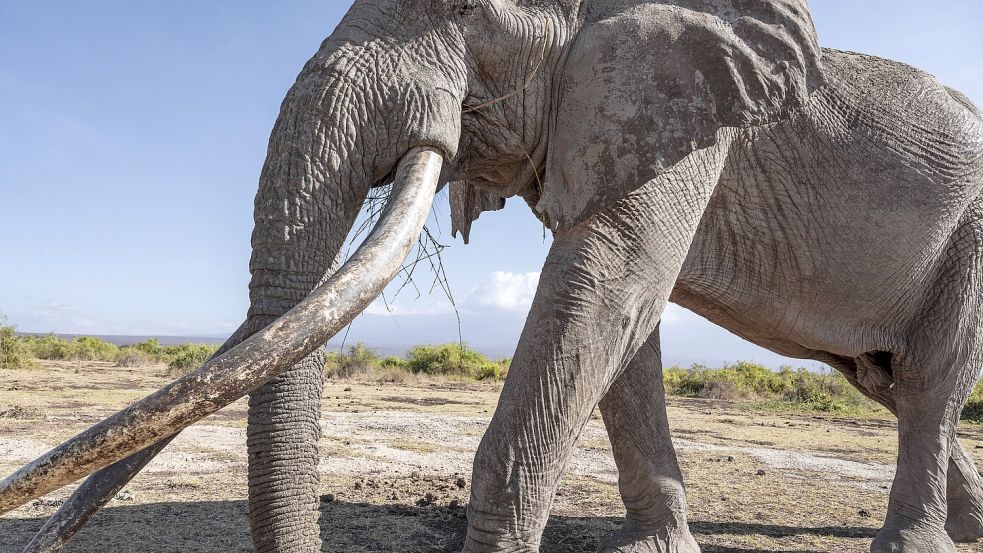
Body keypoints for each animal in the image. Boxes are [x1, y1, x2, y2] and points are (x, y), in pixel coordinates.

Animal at [2, 0, 983, 552]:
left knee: (930, 378)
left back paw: (912, 544)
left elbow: (606, 284)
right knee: (885, 379)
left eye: (470, 8)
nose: (38, 534)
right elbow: (623, 323)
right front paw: (653, 549)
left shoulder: (681, 112)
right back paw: (964, 526)